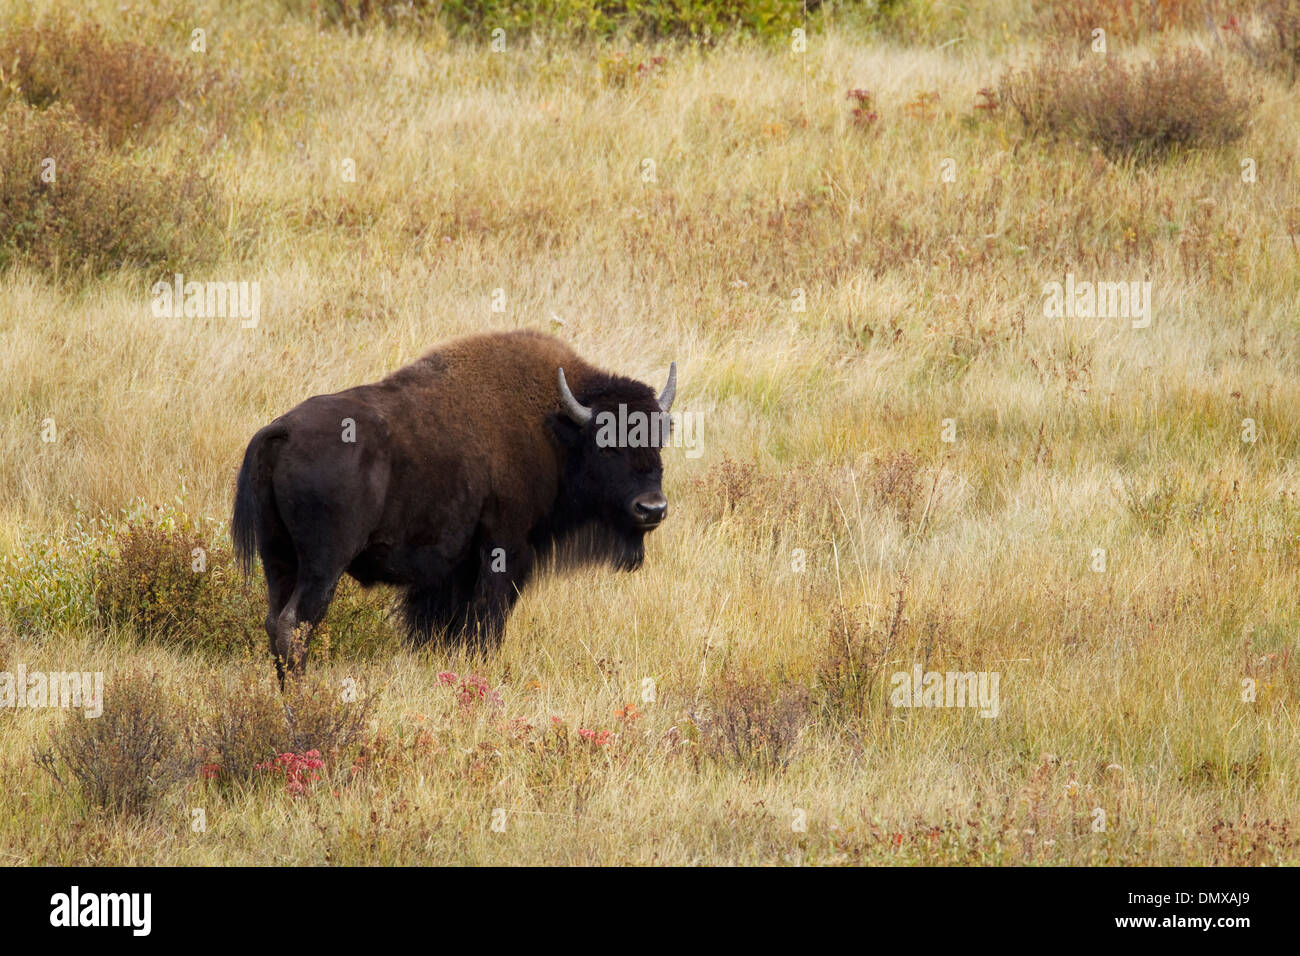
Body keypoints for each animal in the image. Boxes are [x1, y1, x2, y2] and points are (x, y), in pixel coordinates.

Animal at [233, 332, 676, 676]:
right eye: (607, 444)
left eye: (658, 438)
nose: (652, 509)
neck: (556, 431)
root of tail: (284, 430)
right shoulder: (504, 552)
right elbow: (485, 624)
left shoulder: (452, 571)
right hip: (323, 564)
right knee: (295, 623)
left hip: (278, 557)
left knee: (275, 620)